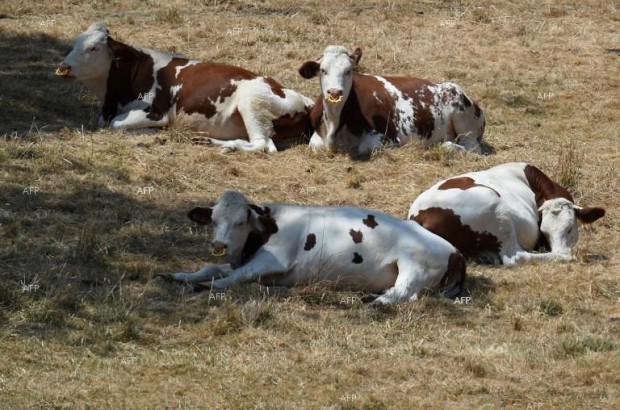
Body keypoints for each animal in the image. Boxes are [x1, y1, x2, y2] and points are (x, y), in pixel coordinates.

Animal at [55, 21, 312, 152]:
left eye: (94, 48)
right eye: (74, 43)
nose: (63, 67)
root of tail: (304, 99)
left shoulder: (155, 112)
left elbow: (117, 124)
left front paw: (153, 131)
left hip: (252, 102)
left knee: (261, 145)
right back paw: (207, 141)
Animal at [160, 190, 464, 304]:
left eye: (240, 221)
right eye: (213, 220)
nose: (219, 244)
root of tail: (456, 252)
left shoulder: (274, 261)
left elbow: (234, 276)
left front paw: (208, 286)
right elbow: (210, 267)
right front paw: (179, 275)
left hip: (414, 266)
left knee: (403, 293)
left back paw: (374, 301)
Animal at [298, 45, 486, 159]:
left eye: (348, 70)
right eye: (323, 70)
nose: (335, 92)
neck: (335, 124)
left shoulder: (386, 138)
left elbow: (365, 147)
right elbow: (315, 144)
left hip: (463, 119)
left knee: (471, 148)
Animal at [406, 162, 604, 264]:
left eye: (569, 229)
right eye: (545, 232)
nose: (561, 250)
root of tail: (419, 217)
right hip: (495, 208)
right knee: (515, 256)